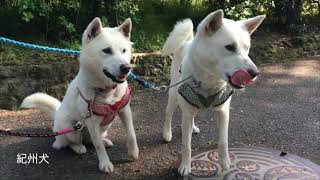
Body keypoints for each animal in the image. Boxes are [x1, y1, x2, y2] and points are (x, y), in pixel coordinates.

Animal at [20, 17, 138, 173]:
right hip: (72, 129)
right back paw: (78, 147)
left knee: (93, 140)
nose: (126, 68)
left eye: (124, 50)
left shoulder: (125, 111)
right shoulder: (92, 121)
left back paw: (104, 141)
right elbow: (98, 147)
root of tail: (57, 112)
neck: (105, 90)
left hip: (105, 127)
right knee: (68, 143)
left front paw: (133, 152)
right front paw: (105, 164)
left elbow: (131, 134)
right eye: (107, 50)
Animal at [162, 9, 264, 176]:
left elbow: (223, 142)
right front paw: (185, 166)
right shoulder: (186, 108)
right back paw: (167, 133)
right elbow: (186, 145)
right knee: (169, 113)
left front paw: (225, 163)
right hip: (173, 95)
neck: (209, 79)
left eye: (247, 48)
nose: (255, 73)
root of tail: (186, 43)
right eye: (230, 47)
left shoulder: (223, 112)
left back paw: (193, 127)